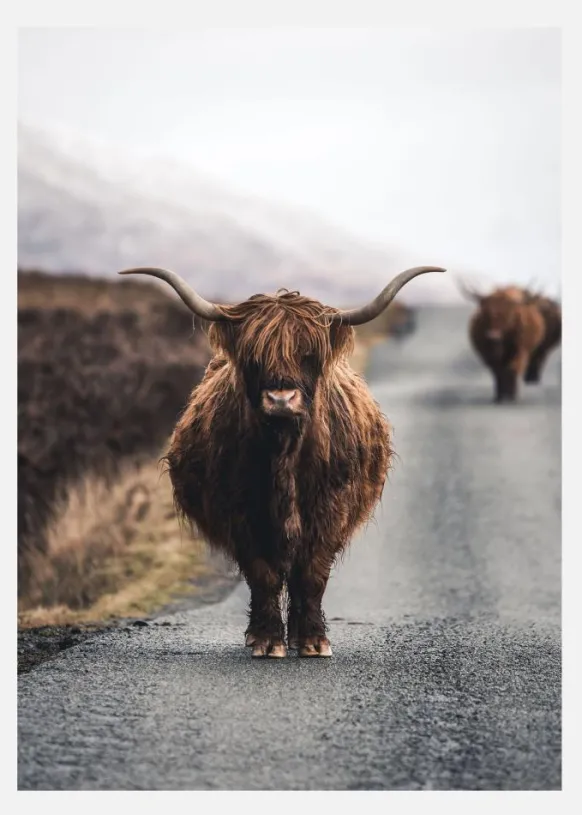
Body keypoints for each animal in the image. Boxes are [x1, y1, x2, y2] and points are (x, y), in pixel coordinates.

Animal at [118, 265, 445, 657]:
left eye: (308, 355)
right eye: (254, 357)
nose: (280, 399)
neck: (283, 453)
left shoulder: (330, 509)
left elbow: (312, 574)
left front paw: (313, 641)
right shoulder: (239, 513)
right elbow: (263, 573)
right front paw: (267, 640)